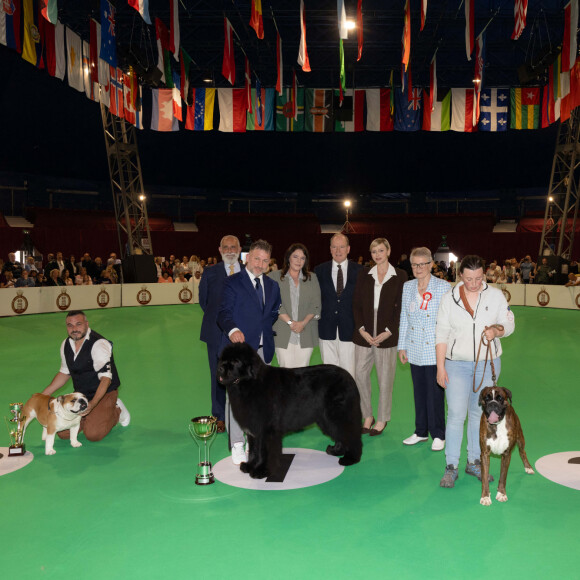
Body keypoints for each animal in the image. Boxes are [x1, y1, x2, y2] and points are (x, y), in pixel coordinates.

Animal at [218, 342, 362, 478]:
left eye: (235, 361)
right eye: (223, 359)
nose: (220, 368)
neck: (251, 384)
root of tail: (349, 377)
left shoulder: (267, 429)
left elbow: (264, 451)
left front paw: (262, 471)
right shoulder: (254, 429)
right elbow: (254, 450)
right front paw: (250, 466)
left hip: (337, 414)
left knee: (351, 434)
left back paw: (350, 458)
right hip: (326, 419)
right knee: (340, 435)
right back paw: (336, 451)